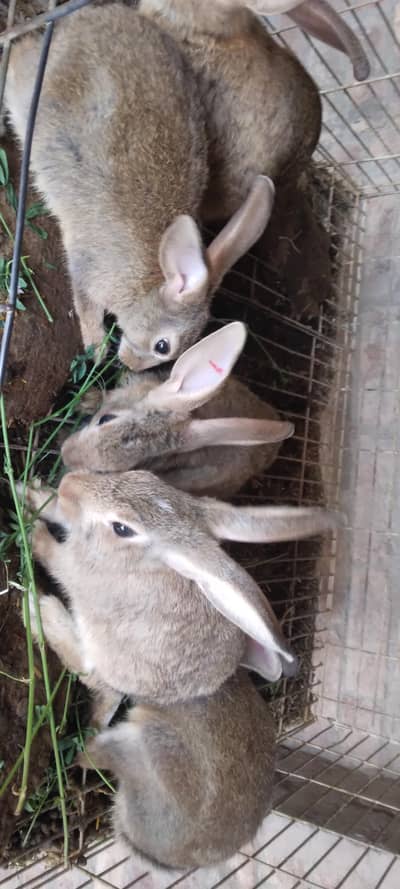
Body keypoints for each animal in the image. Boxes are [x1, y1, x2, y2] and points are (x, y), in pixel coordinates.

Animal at [5, 4, 275, 370]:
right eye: (163, 346)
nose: (130, 365)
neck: (146, 283)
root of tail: (88, 18)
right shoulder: (87, 270)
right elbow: (85, 305)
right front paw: (96, 348)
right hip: (31, 96)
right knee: (17, 59)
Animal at [20, 469, 338, 706]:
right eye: (142, 474)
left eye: (122, 528)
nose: (69, 482)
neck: (138, 561)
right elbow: (59, 512)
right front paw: (33, 494)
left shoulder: (74, 569)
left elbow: (53, 555)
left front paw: (32, 531)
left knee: (89, 669)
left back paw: (39, 609)